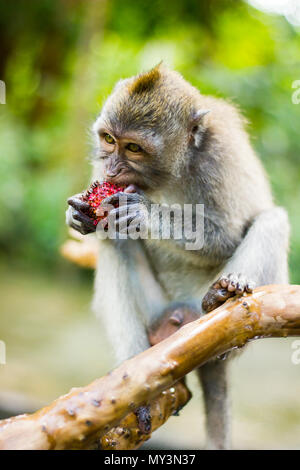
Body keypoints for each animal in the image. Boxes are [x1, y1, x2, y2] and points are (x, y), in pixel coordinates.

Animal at [67, 64, 290, 450]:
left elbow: (224, 236)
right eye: (108, 140)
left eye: (134, 148)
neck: (167, 175)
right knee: (114, 240)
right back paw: (132, 372)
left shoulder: (220, 154)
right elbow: (105, 229)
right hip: (156, 310)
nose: (111, 170)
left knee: (272, 219)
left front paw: (144, 214)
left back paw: (222, 298)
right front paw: (79, 215)